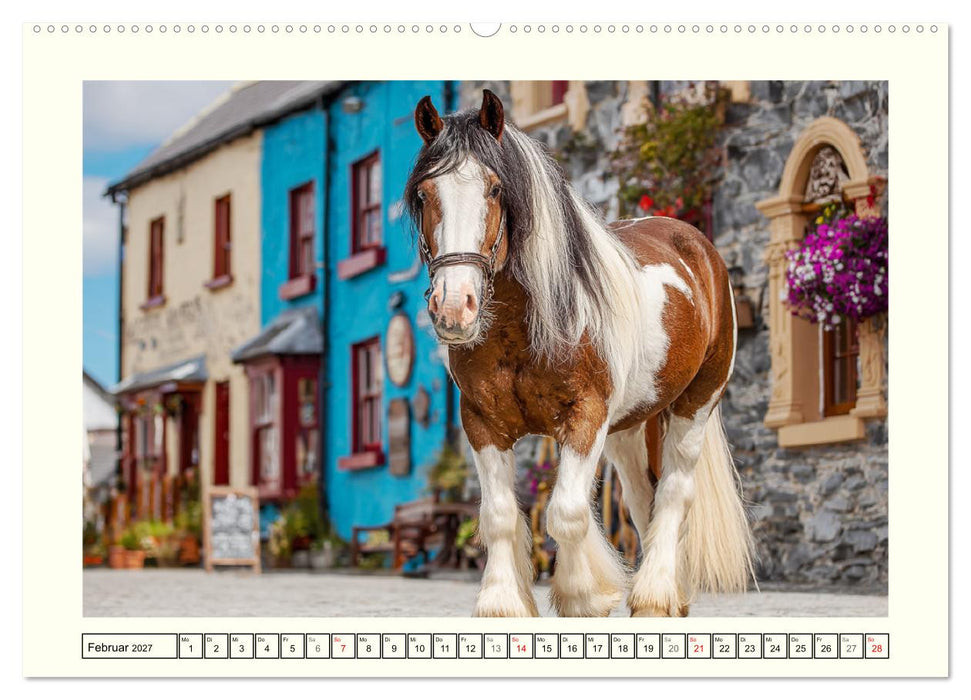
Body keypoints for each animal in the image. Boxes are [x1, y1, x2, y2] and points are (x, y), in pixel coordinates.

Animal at [404, 89, 754, 617]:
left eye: (494, 190)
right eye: (425, 194)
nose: (453, 306)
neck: (523, 328)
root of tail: (696, 246)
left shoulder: (585, 417)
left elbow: (566, 513)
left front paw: (583, 595)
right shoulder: (482, 423)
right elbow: (500, 515)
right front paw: (503, 602)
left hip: (695, 405)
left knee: (675, 492)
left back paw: (654, 595)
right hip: (629, 429)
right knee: (643, 499)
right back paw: (666, 593)